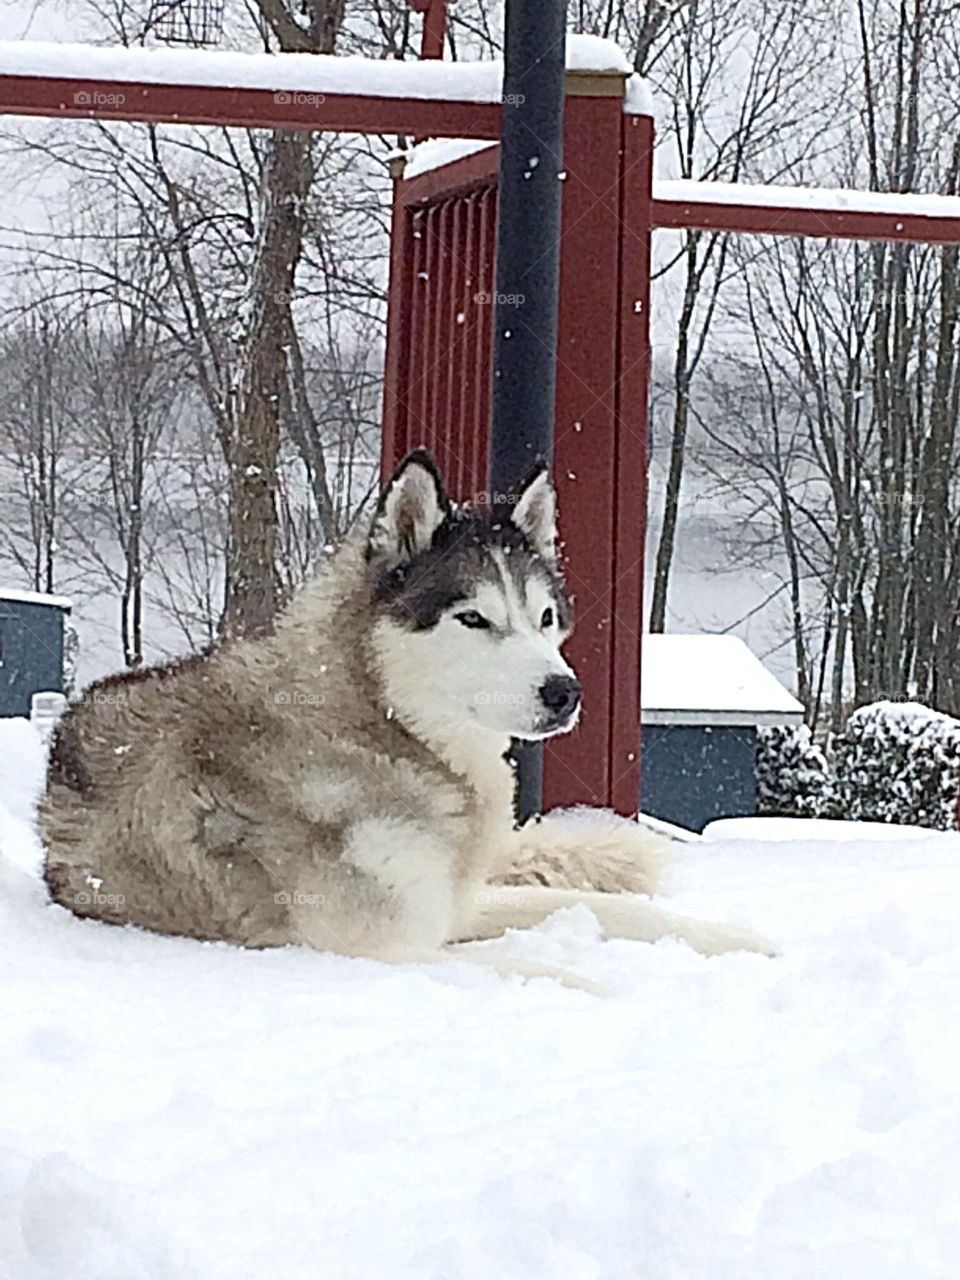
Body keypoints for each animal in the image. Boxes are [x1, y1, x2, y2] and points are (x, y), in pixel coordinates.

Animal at [39, 450, 773, 988]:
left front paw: (740, 942)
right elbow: (538, 970)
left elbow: (602, 906)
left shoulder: (454, 906)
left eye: (544, 617)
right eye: (473, 618)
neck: (387, 732)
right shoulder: (384, 950)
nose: (565, 691)